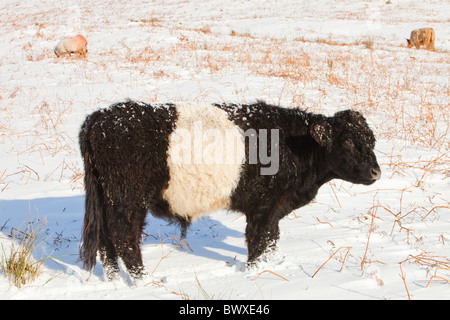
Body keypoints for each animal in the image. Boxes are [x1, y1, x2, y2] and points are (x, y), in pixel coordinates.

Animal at [79, 100, 382, 280]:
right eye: (348, 142)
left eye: (372, 140)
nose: (376, 172)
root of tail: (100, 116)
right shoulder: (262, 209)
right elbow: (258, 243)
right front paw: (253, 274)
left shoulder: (273, 210)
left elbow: (272, 240)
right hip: (127, 201)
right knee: (124, 239)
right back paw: (143, 280)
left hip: (107, 200)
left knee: (105, 241)